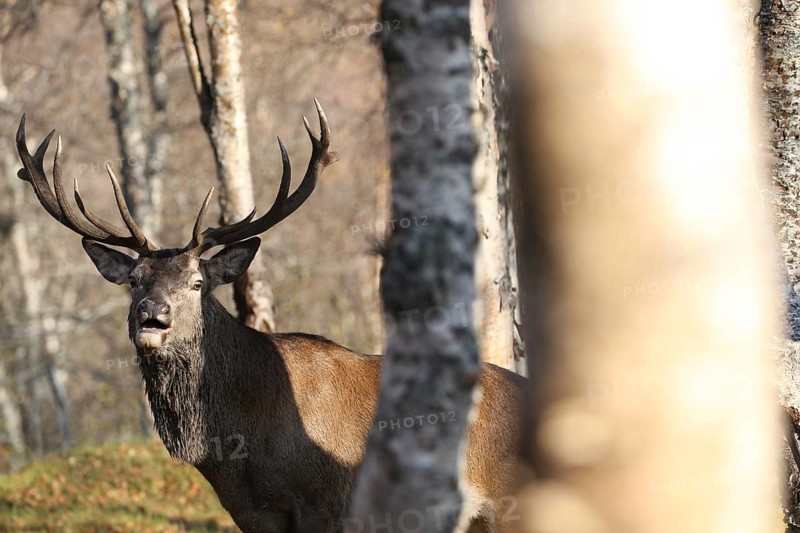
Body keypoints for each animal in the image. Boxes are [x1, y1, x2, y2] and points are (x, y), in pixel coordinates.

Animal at [14, 102, 527, 533]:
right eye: (135, 279)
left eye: (197, 283)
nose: (152, 315)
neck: (238, 447)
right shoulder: (250, 512)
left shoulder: (324, 503)